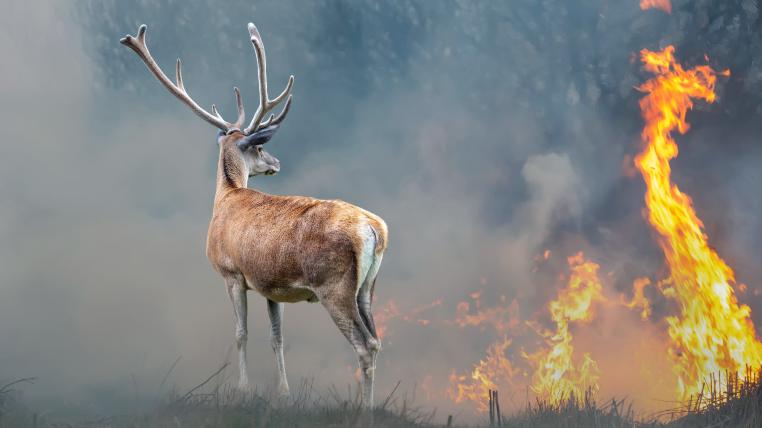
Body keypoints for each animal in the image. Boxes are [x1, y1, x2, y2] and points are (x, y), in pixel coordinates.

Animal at [120, 22, 387, 409]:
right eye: (260, 148)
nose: (276, 162)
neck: (226, 197)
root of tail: (374, 229)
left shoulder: (231, 272)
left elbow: (241, 333)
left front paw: (243, 390)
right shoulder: (270, 285)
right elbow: (276, 337)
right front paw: (284, 393)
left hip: (333, 285)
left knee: (364, 345)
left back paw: (363, 410)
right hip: (368, 287)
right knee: (377, 340)